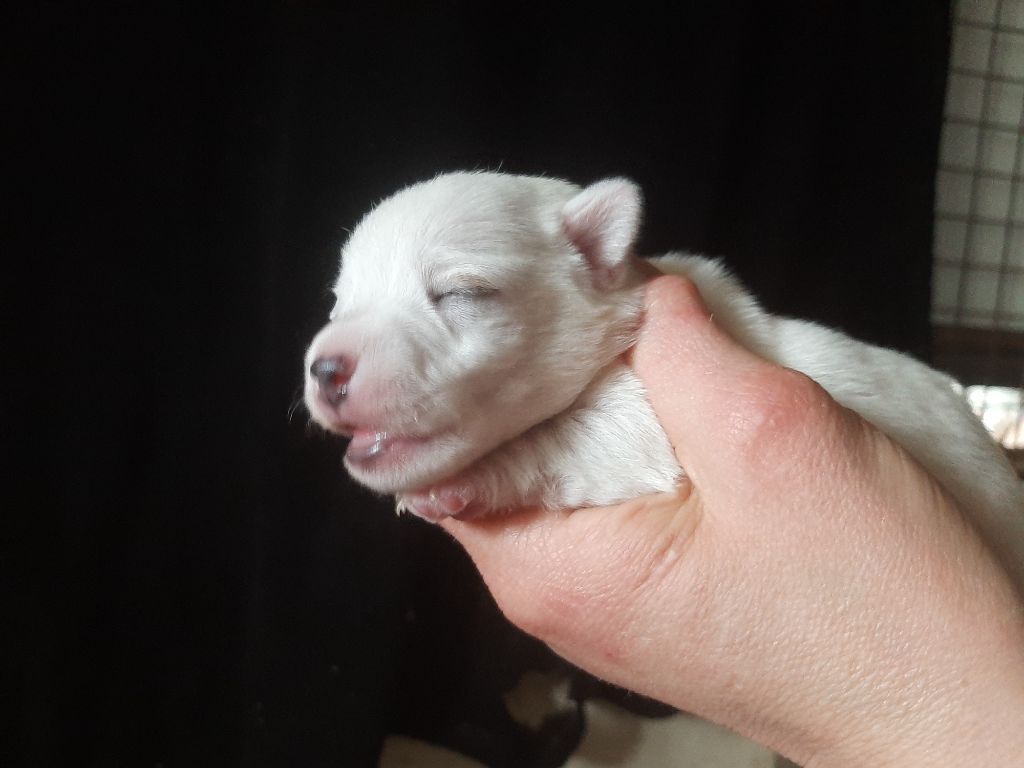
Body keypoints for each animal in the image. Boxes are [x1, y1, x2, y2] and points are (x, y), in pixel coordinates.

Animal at [303, 171, 1024, 583]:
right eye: (337, 303)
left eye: (459, 293)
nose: (325, 368)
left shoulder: (646, 423)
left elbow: (573, 437)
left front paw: (467, 484)